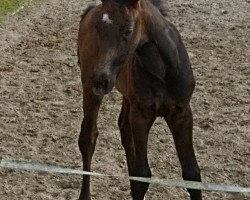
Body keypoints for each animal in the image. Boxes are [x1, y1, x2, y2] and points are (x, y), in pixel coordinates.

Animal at [77, 0, 202, 199]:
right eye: (99, 27)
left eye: (128, 30)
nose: (100, 80)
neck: (163, 71)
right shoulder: (141, 115)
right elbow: (142, 176)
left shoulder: (181, 113)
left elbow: (192, 174)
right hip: (91, 91)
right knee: (88, 138)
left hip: (127, 97)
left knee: (124, 129)